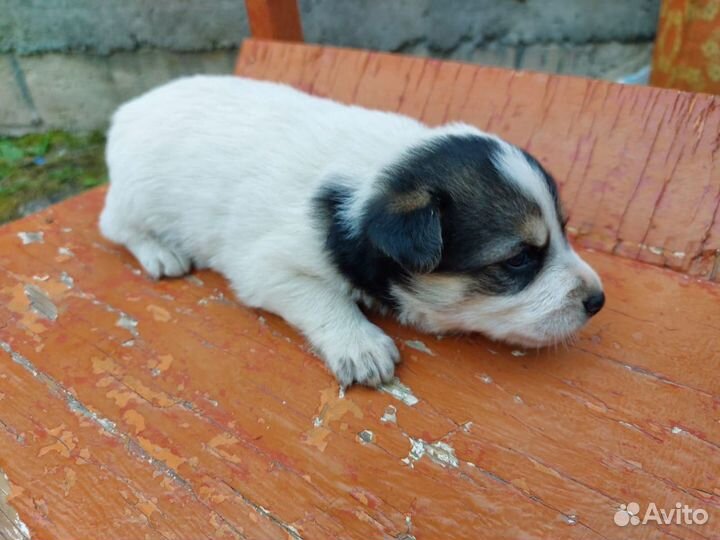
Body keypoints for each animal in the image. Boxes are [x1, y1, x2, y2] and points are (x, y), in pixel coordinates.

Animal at [98, 77, 604, 388]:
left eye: (564, 230)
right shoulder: (267, 266)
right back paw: (160, 252)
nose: (598, 302)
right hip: (134, 194)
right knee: (113, 226)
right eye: (519, 259)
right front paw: (361, 345)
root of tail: (126, 110)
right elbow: (324, 298)